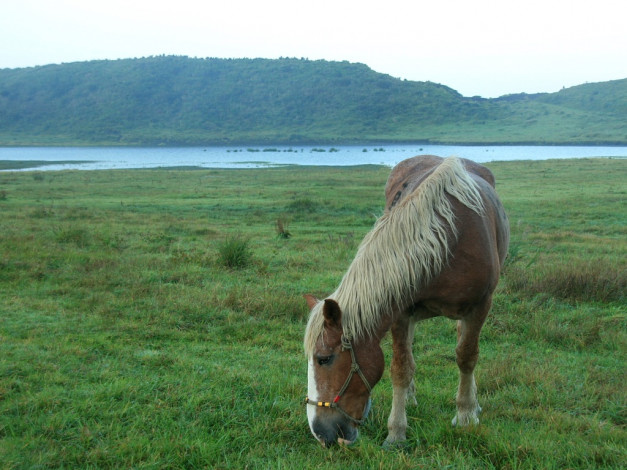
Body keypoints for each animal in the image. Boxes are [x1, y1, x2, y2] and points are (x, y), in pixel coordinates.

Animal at [302, 155, 510, 448]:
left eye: (324, 359)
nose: (320, 432)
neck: (448, 238)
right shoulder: (400, 311)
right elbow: (401, 368)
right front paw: (397, 432)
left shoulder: (480, 306)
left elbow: (467, 357)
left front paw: (466, 414)